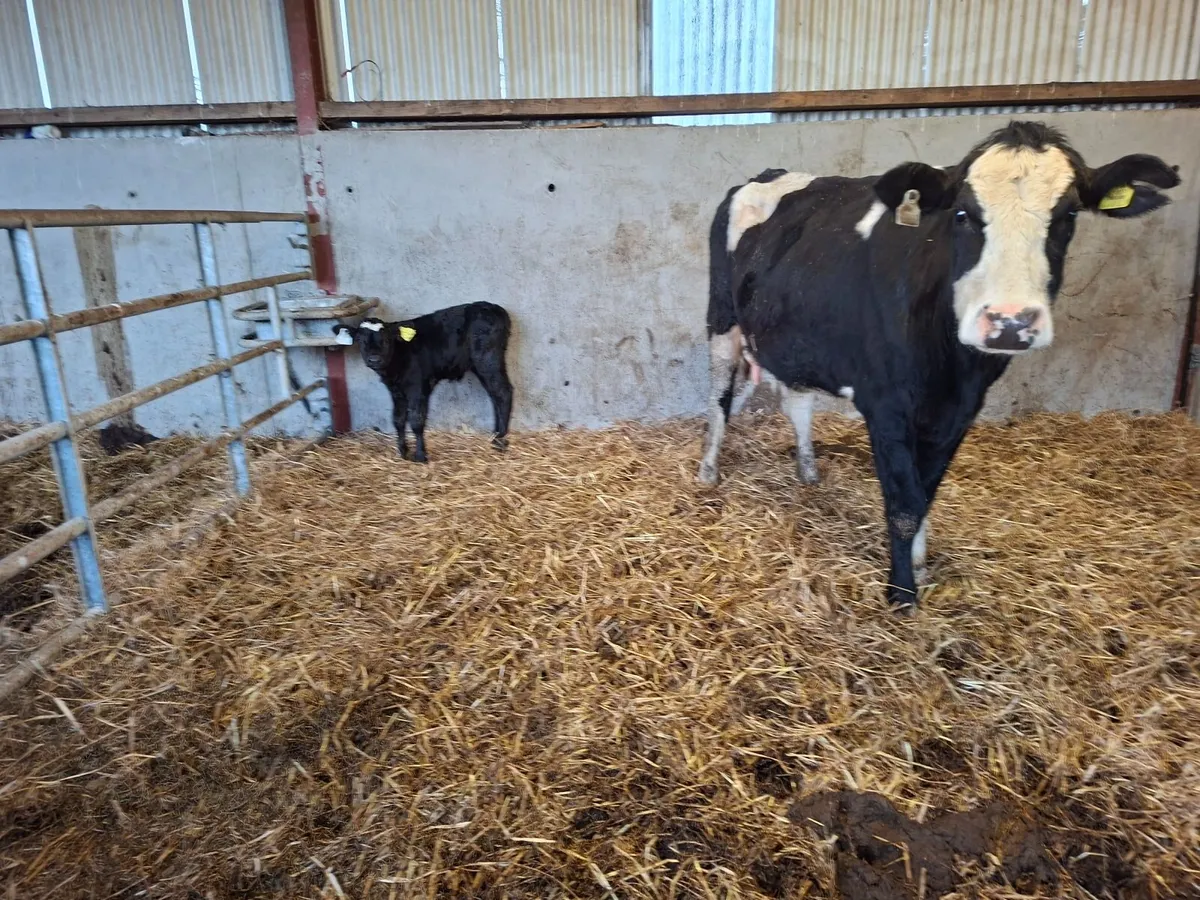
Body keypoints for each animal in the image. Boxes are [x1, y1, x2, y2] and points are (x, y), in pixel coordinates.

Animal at [333, 301, 513, 463]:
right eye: (360, 340)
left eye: (386, 340)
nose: (374, 359)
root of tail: (493, 307)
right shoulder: (395, 390)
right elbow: (398, 419)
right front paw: (403, 451)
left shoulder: (418, 387)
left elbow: (416, 421)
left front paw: (420, 456)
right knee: (495, 395)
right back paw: (495, 434)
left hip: (488, 360)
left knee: (503, 393)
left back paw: (500, 441)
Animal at [697, 121, 1179, 610]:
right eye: (962, 215)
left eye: (1068, 217)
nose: (1010, 322)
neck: (951, 366)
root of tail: (768, 174)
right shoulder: (886, 405)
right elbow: (904, 504)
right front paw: (901, 594)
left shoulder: (960, 410)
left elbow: (925, 493)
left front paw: (920, 564)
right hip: (722, 318)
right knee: (719, 399)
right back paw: (708, 472)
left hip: (794, 335)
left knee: (796, 402)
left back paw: (809, 473)